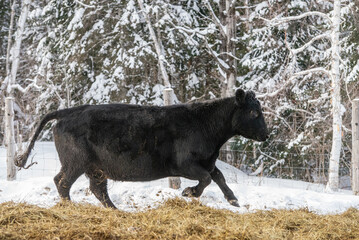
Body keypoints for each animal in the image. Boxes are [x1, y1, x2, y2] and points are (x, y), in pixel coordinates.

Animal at [16, 88, 270, 208]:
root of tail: (69, 111)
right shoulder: (185, 164)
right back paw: (70, 207)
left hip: (96, 168)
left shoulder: (207, 161)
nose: (266, 135)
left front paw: (233, 199)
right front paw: (189, 192)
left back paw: (116, 211)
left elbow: (219, 176)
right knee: (62, 182)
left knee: (97, 189)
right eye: (254, 112)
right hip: (75, 162)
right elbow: (207, 178)